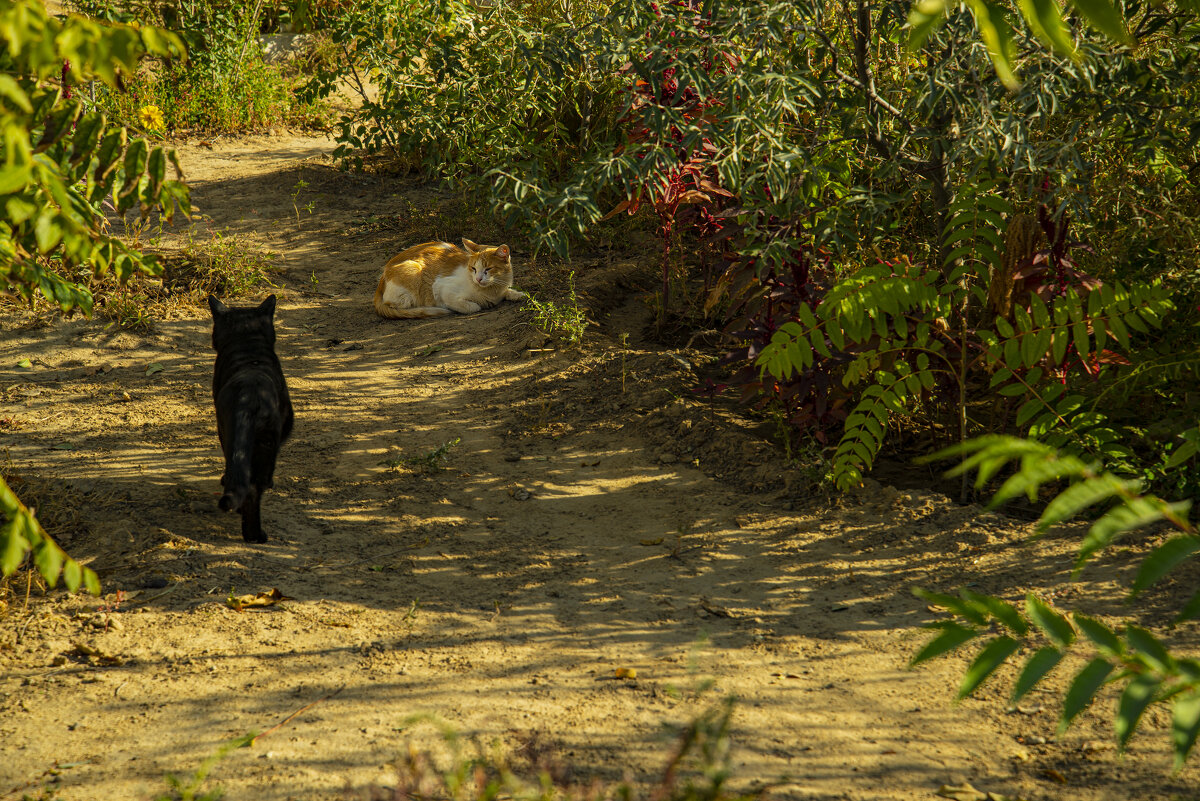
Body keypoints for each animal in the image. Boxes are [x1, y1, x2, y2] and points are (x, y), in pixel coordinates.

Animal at [207, 293, 294, 544]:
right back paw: (255, 535)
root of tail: (248, 395)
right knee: (255, 486)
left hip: (231, 436)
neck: (248, 348)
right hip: (265, 443)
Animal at [372, 236, 523, 316]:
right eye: (473, 268)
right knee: (397, 305)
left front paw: (516, 294)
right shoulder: (441, 288)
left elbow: (508, 292)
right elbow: (473, 307)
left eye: (488, 269)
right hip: (413, 272)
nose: (478, 279)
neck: (492, 292)